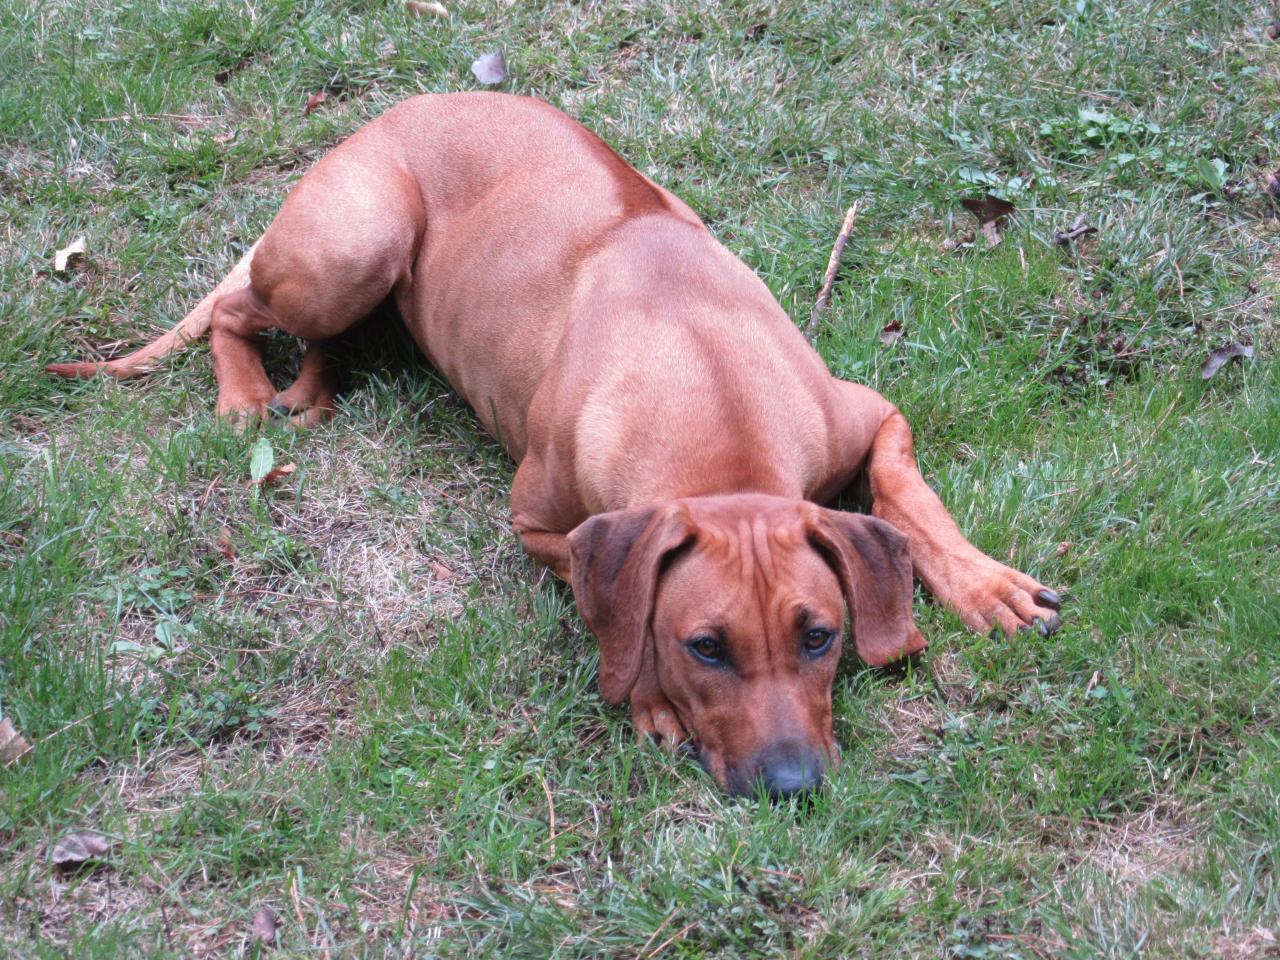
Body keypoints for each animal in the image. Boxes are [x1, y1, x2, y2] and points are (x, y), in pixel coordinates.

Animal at [47, 92, 1059, 798]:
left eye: (820, 635)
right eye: (704, 648)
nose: (793, 788)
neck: (711, 401)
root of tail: (387, 113)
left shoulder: (867, 414)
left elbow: (907, 494)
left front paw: (985, 585)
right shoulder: (540, 523)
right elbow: (601, 593)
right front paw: (647, 696)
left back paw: (315, 386)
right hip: (350, 250)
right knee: (232, 304)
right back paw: (247, 394)